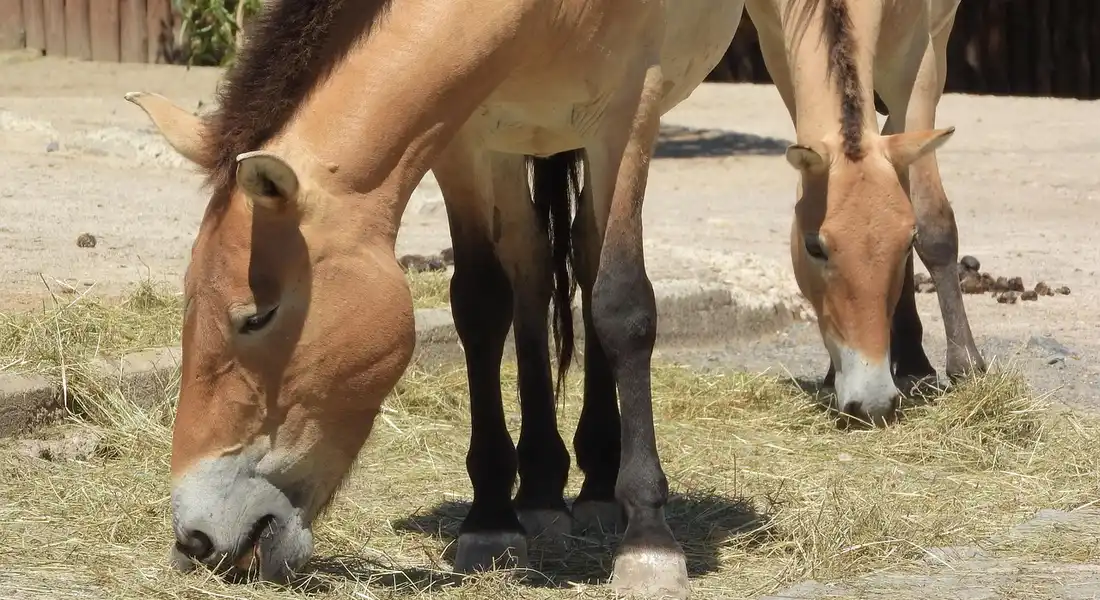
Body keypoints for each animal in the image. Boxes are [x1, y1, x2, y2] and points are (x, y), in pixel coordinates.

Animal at [125, 0, 746, 597]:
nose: (196, 539)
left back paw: (599, 487)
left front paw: (650, 542)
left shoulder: (628, 118)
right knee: (534, 266)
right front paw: (491, 522)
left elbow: (621, 305)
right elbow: (480, 304)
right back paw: (541, 492)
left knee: (591, 264)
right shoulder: (463, 135)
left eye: (257, 316)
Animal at [743, 0, 986, 424]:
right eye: (814, 246)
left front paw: (964, 366)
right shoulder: (775, 46)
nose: (872, 403)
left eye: (906, 243)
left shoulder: (919, 62)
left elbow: (933, 224)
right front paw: (830, 375)